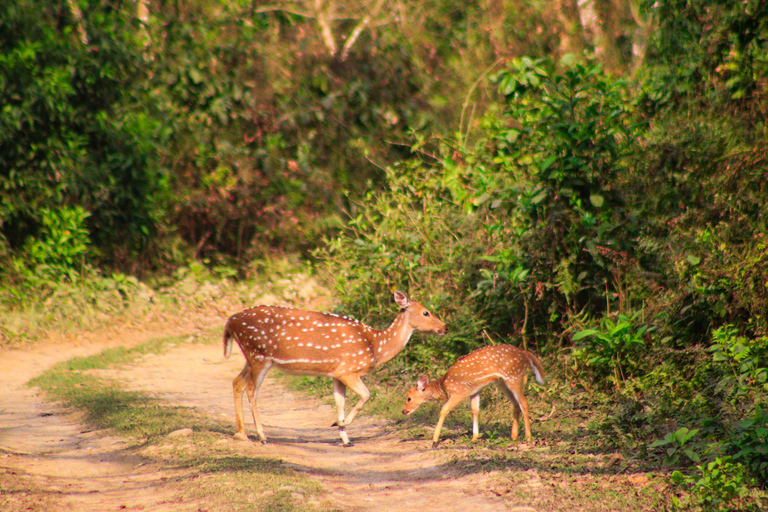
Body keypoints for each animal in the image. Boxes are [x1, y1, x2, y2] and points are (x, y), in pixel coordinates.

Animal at [222, 290, 448, 446]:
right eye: (426, 312)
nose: (445, 327)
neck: (375, 346)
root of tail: (230, 321)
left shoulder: (336, 374)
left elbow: (340, 402)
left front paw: (345, 437)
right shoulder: (348, 369)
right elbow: (366, 395)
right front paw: (341, 424)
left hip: (250, 357)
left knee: (237, 382)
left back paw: (241, 433)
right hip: (258, 354)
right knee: (251, 389)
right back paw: (262, 436)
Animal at [402, 344, 544, 448]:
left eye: (409, 398)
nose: (404, 411)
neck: (444, 386)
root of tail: (525, 354)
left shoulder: (459, 392)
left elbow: (444, 409)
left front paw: (435, 439)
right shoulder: (474, 391)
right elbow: (475, 410)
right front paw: (474, 437)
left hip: (515, 376)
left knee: (524, 402)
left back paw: (528, 436)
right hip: (502, 382)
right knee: (515, 403)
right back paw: (513, 436)